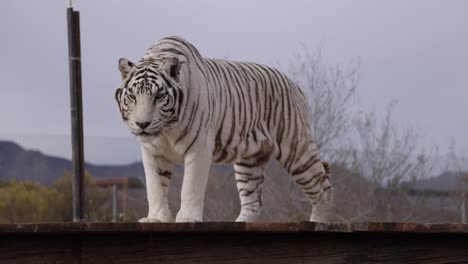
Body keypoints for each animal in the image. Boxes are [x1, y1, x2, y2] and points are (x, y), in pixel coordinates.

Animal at [114, 35, 330, 223]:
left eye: (159, 96)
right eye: (132, 96)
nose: (142, 124)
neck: (167, 129)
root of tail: (294, 84)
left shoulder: (199, 147)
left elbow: (190, 186)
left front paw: (188, 218)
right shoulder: (152, 152)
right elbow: (155, 187)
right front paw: (156, 219)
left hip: (296, 150)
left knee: (323, 185)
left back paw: (318, 222)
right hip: (249, 162)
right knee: (253, 203)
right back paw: (239, 223)